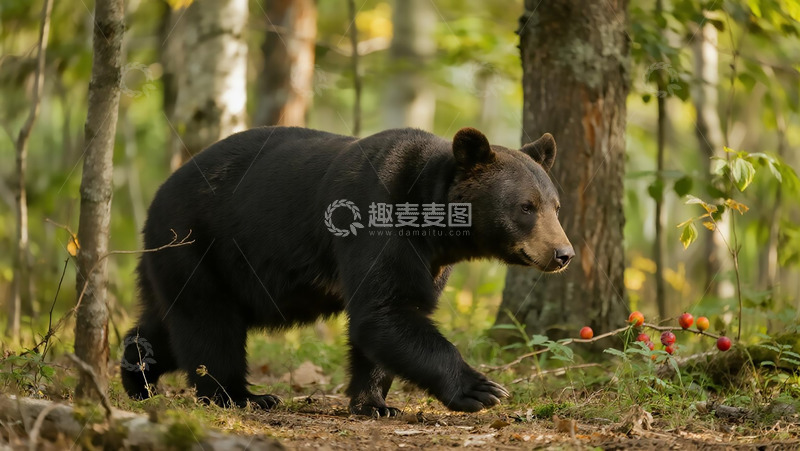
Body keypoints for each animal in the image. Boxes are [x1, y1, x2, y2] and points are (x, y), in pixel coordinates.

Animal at [121, 126, 574, 417]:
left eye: (555, 205)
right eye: (525, 207)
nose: (563, 253)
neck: (430, 223)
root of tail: (159, 193)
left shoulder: (430, 261)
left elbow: (390, 318)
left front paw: (375, 404)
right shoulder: (376, 221)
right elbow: (384, 312)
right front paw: (482, 389)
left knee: (168, 322)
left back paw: (137, 372)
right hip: (200, 243)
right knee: (210, 325)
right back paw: (240, 396)